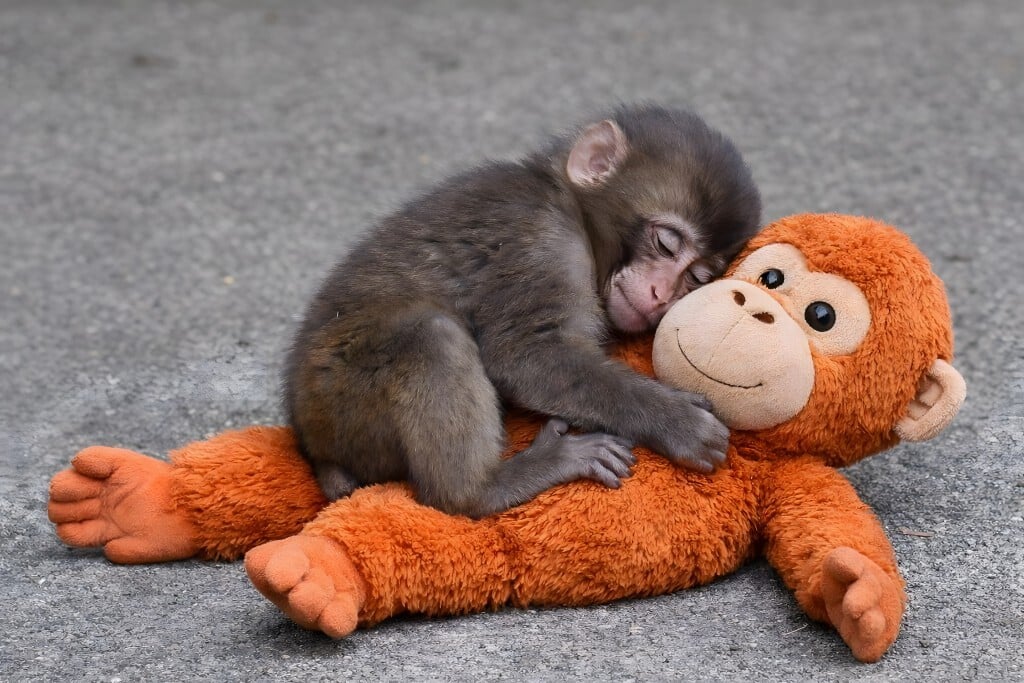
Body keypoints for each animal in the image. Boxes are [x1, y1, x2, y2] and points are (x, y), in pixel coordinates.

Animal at [283, 105, 762, 518]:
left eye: (697, 277)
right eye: (666, 243)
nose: (661, 294)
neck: (572, 211)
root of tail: (310, 438)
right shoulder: (541, 247)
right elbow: (525, 356)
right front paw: (677, 420)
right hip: (342, 400)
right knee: (430, 335)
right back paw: (487, 488)